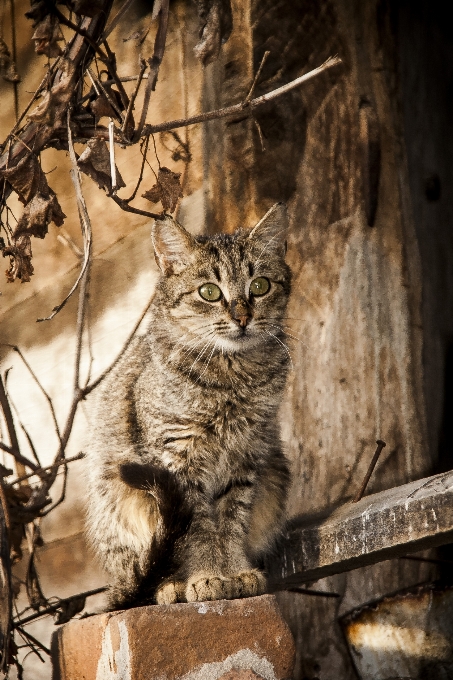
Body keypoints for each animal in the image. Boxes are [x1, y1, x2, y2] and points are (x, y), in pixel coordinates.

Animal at [83, 201, 292, 604]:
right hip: (118, 495)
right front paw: (206, 576)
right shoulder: (179, 459)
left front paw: (235, 571)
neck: (232, 377)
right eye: (209, 292)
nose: (243, 317)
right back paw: (169, 586)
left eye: (259, 286)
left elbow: (231, 521)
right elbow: (199, 529)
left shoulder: (247, 455)